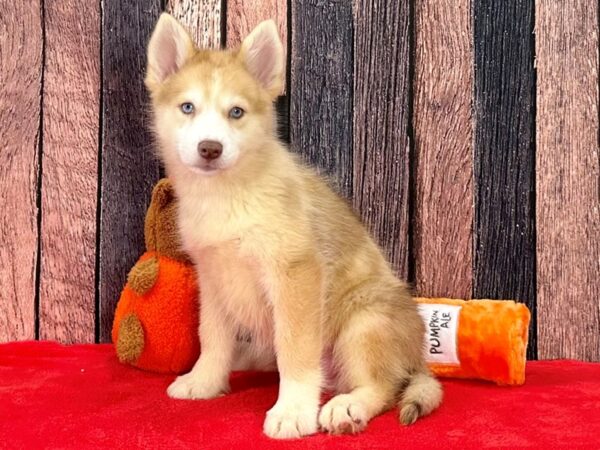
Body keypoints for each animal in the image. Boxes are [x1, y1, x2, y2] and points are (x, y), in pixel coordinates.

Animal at [145, 14, 440, 440]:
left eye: (236, 112)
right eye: (188, 107)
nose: (210, 148)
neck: (228, 194)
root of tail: (419, 357)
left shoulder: (295, 272)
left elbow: (296, 352)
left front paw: (293, 410)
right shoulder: (213, 279)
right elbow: (212, 338)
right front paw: (205, 382)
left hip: (365, 319)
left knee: (384, 385)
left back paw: (348, 406)